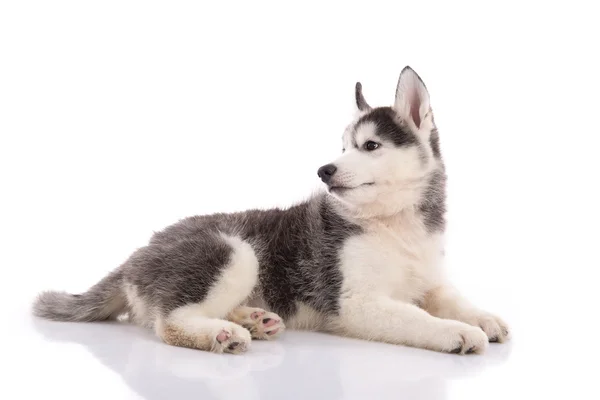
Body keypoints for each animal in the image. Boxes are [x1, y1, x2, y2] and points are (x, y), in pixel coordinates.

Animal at [32, 67, 508, 354]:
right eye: (342, 148)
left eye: (371, 146)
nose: (324, 170)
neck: (393, 223)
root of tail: (136, 254)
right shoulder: (355, 302)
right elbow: (416, 316)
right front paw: (456, 332)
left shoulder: (430, 279)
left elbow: (449, 298)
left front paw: (482, 317)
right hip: (233, 251)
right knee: (169, 321)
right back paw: (222, 332)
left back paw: (254, 318)